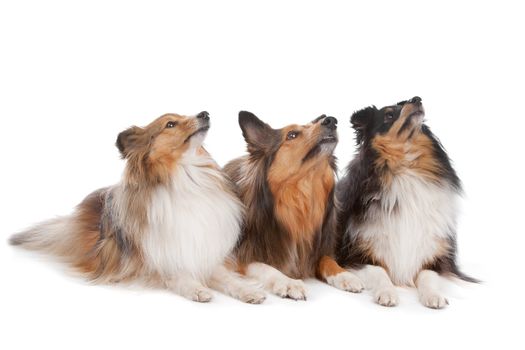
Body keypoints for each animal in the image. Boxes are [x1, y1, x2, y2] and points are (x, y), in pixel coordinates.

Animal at [9, 112, 266, 304]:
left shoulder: (204, 251)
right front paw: (196, 288)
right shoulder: (152, 259)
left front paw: (249, 291)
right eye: (170, 124)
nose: (204, 113)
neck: (186, 175)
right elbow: (177, 273)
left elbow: (228, 278)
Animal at [223, 113, 362, 300]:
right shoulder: (240, 255)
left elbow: (327, 260)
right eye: (292, 135)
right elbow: (266, 267)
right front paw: (289, 282)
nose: (331, 120)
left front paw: (345, 275)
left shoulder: (317, 248)